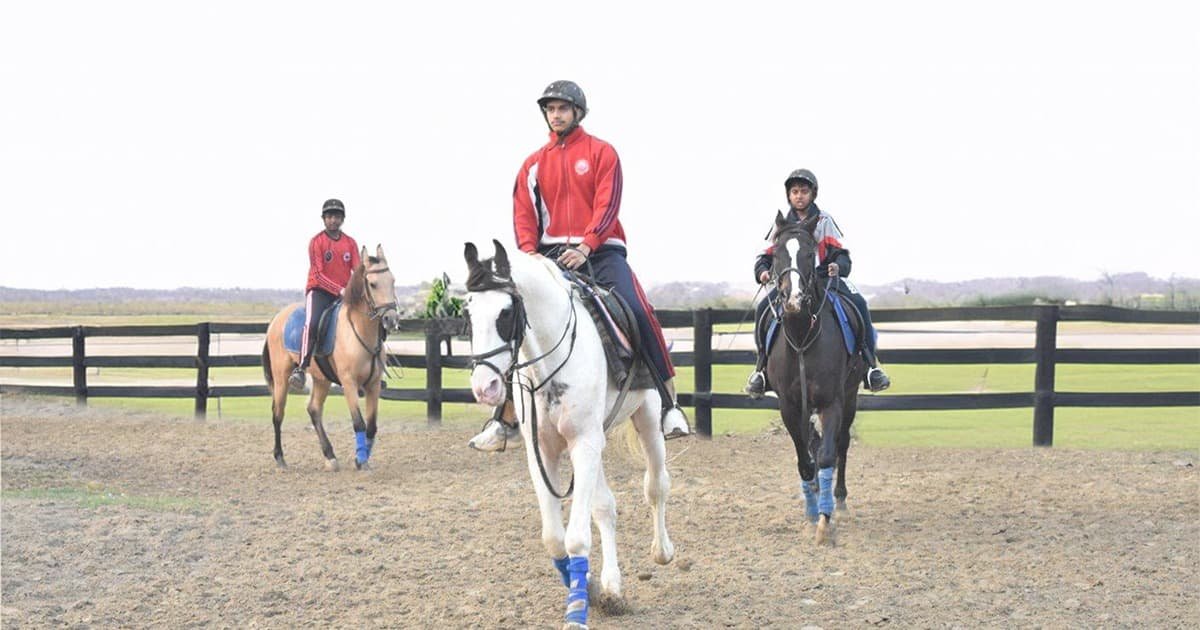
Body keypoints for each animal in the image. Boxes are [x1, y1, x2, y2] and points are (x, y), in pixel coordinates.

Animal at [262, 244, 402, 471]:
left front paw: (362, 457)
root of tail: (277, 319)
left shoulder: (373, 385)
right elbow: (359, 422)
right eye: (372, 284)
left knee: (313, 409)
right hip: (282, 377)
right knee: (278, 413)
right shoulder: (349, 383)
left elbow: (371, 426)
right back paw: (280, 458)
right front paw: (361, 460)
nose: (391, 319)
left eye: (393, 281)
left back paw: (330, 456)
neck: (360, 331)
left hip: (322, 380)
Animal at [462, 240, 677, 629]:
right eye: (468, 314)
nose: (485, 388)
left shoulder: (584, 444)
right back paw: (611, 586)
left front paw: (577, 610)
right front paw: (589, 587)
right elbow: (555, 539)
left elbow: (576, 539)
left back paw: (662, 551)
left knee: (656, 486)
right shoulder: (544, 452)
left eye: (505, 312)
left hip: (648, 420)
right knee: (605, 508)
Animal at [764, 212, 868, 545]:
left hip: (850, 397)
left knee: (841, 445)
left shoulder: (831, 402)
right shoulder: (789, 406)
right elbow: (804, 459)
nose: (794, 299)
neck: (802, 337)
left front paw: (824, 520)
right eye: (777, 254)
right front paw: (811, 513)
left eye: (811, 254)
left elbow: (825, 457)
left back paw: (839, 499)